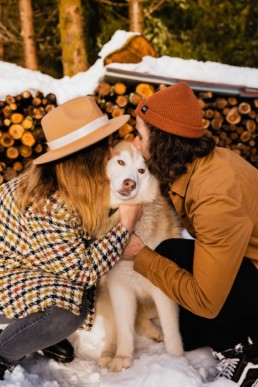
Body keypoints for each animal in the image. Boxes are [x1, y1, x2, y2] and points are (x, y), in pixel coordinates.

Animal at [96, 140, 183, 372]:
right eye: (121, 162)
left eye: (141, 171)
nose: (129, 183)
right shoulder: (120, 289)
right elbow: (125, 330)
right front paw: (122, 358)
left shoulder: (163, 290)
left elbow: (172, 332)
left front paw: (177, 362)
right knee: (118, 328)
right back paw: (108, 354)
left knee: (142, 320)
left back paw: (155, 333)